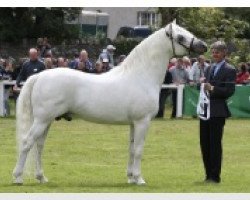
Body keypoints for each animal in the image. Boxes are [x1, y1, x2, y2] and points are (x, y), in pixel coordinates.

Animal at [12, 21, 206, 185]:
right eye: (180, 37)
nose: (203, 45)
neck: (140, 75)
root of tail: (39, 76)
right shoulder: (142, 121)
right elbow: (139, 150)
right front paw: (139, 179)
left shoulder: (134, 124)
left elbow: (131, 149)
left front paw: (131, 178)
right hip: (42, 120)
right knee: (27, 142)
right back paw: (18, 177)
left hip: (47, 121)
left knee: (39, 145)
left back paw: (41, 177)